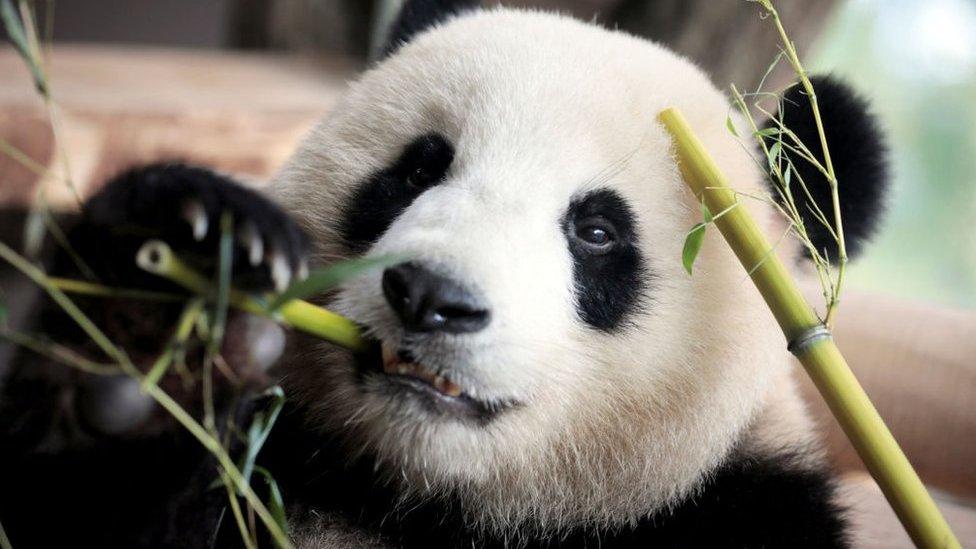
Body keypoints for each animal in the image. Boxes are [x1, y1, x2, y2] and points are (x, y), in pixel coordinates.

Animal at [0, 1, 884, 548]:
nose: (430, 296)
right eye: (420, 167)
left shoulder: (737, 506)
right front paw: (154, 311)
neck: (429, 500)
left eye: (597, 231)